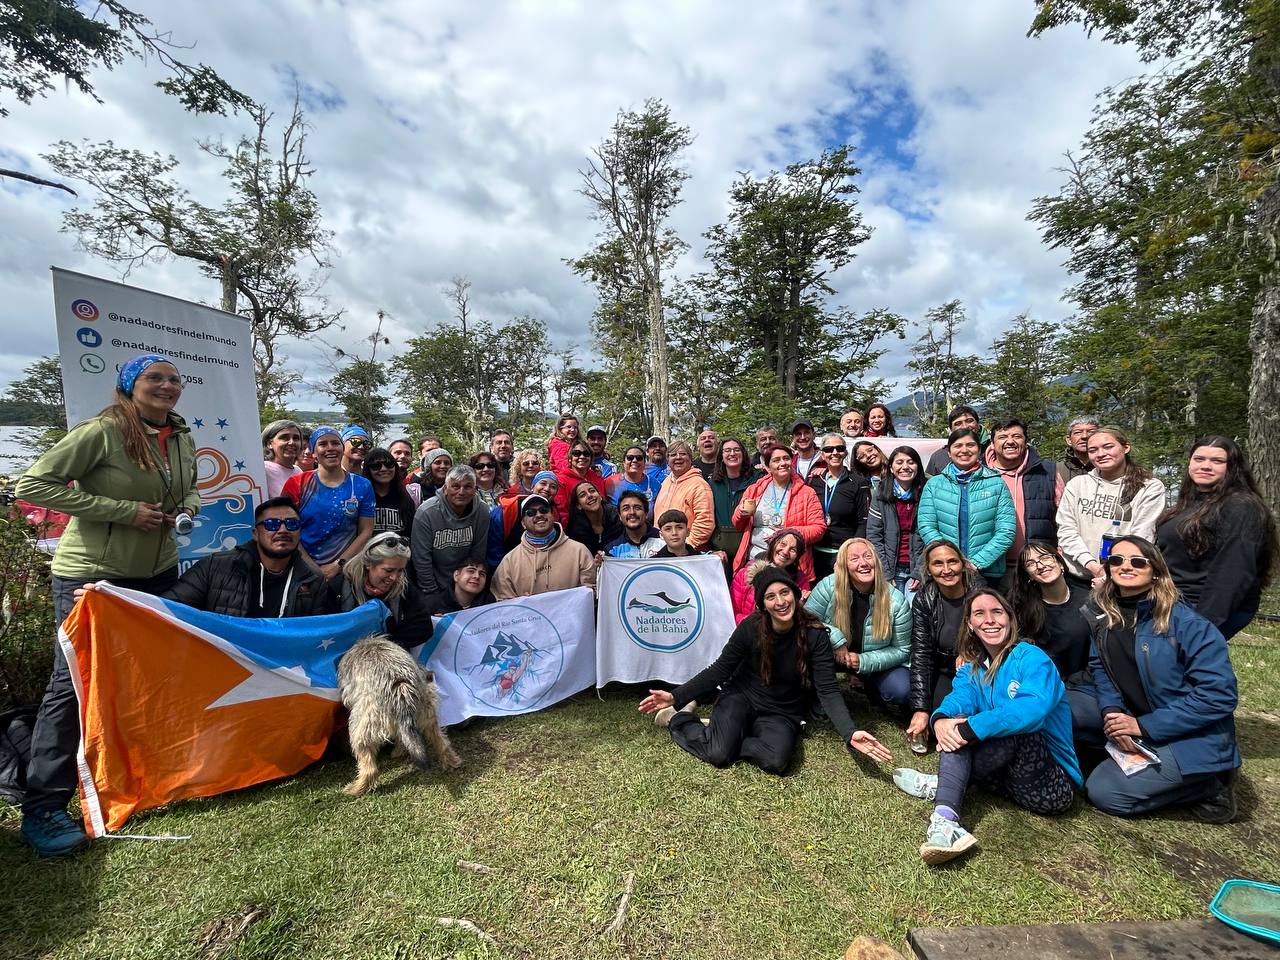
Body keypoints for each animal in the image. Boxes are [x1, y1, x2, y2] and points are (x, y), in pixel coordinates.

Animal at [337, 640, 463, 798]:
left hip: (361, 725)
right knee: (441, 741)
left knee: (369, 765)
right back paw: (452, 762)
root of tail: (401, 688)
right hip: (428, 712)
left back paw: (357, 788)